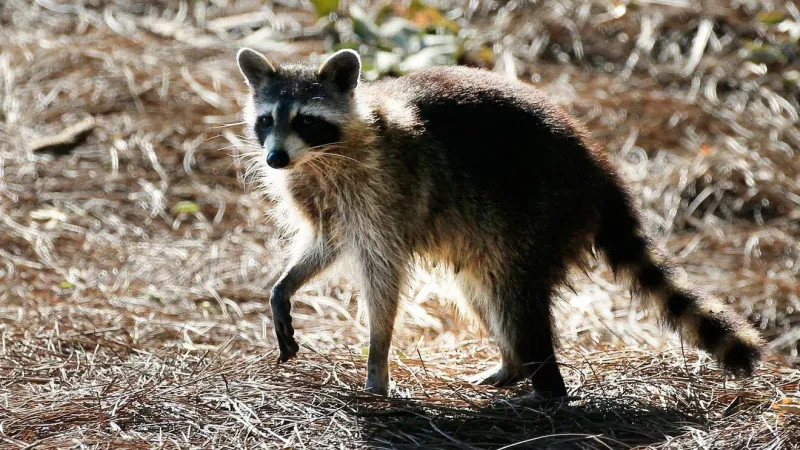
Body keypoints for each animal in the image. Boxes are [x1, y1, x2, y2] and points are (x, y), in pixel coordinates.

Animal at [235, 48, 764, 397]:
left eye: (306, 120)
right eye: (266, 120)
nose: (275, 158)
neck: (319, 158)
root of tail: (599, 169)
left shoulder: (384, 194)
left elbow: (383, 279)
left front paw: (377, 358)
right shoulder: (324, 199)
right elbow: (325, 243)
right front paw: (285, 286)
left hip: (541, 212)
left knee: (516, 299)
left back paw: (548, 387)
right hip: (488, 234)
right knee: (481, 290)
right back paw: (512, 366)